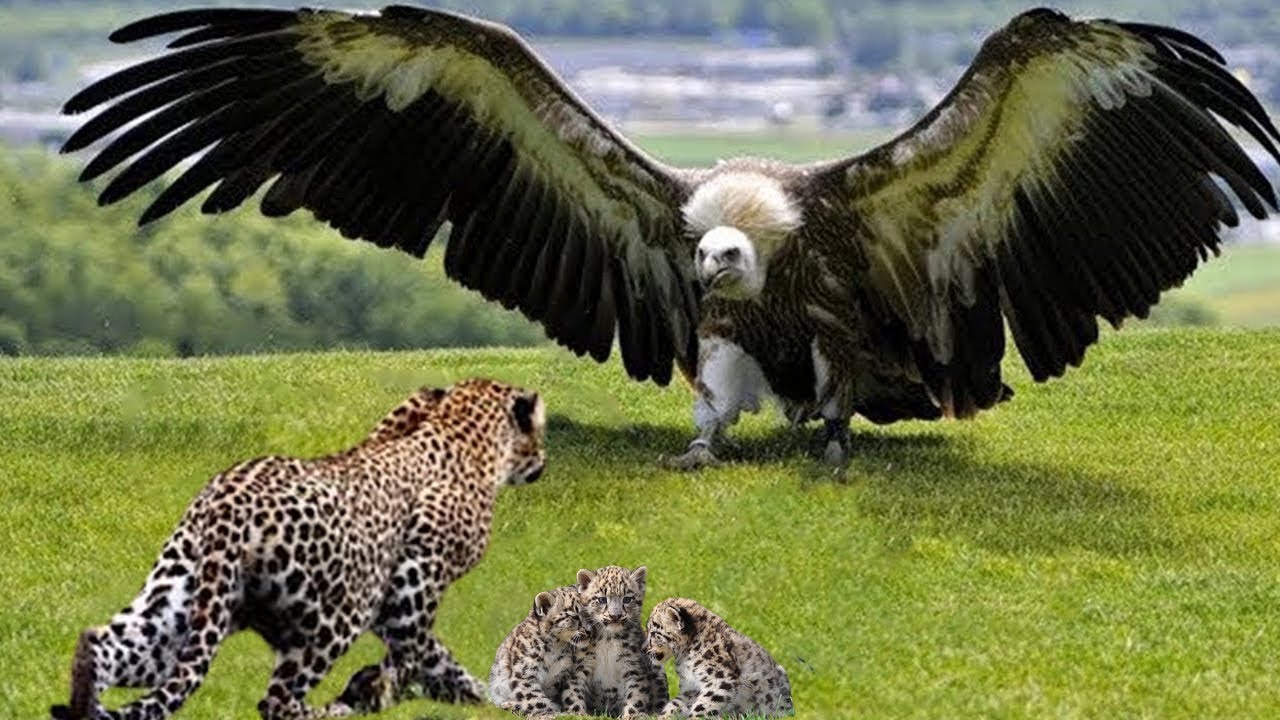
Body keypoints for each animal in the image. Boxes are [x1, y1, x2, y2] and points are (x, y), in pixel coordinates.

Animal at [49, 378, 547, 720]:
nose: (543, 460)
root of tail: (228, 505)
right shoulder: (411, 587)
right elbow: (423, 650)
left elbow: (434, 657)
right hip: (333, 618)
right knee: (278, 701)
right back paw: (343, 705)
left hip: (174, 608)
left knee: (101, 644)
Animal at [488, 585, 593, 719]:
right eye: (574, 616)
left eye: (590, 614)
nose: (590, 631)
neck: (555, 648)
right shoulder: (525, 674)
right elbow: (535, 699)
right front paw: (549, 714)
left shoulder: (565, 674)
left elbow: (571, 692)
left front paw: (577, 713)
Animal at [575, 566, 667, 718]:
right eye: (602, 600)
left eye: (627, 599)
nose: (615, 616)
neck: (608, 638)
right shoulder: (582, 664)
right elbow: (573, 691)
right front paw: (577, 712)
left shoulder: (633, 666)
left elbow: (636, 695)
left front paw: (631, 715)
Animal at [645, 597, 793, 719]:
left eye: (653, 632)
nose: (645, 649)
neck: (684, 658)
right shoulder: (691, 687)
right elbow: (675, 705)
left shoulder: (719, 679)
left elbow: (703, 707)